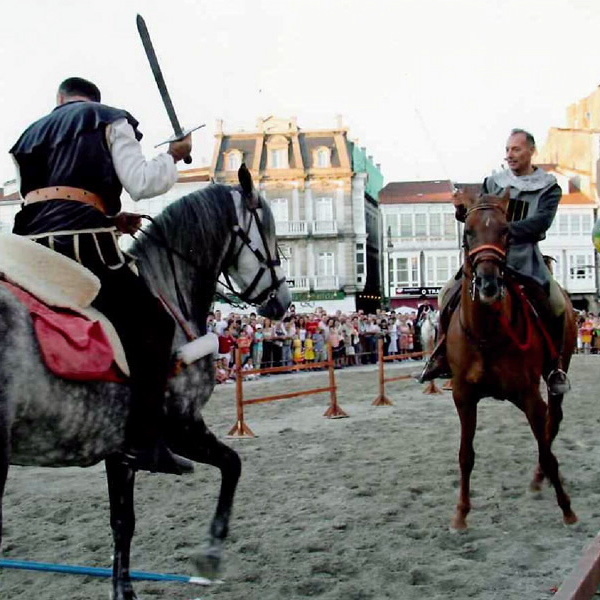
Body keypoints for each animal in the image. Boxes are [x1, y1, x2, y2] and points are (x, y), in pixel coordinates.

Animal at [450, 192, 576, 528]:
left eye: (506, 232)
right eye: (468, 232)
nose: (488, 284)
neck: (488, 334)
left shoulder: (530, 396)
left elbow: (547, 451)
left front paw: (568, 510)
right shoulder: (464, 397)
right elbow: (465, 455)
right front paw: (461, 515)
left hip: (555, 374)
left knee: (552, 421)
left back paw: (540, 478)